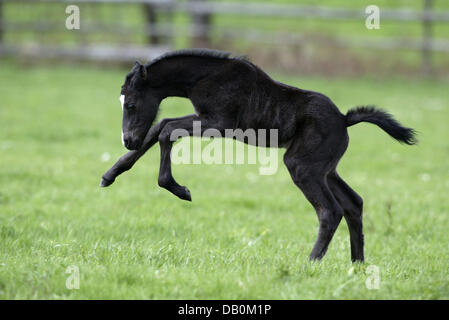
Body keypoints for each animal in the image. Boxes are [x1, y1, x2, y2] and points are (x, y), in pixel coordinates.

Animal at [100, 48, 414, 262]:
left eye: (131, 104)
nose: (128, 140)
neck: (206, 77)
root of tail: (344, 119)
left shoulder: (219, 124)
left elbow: (166, 130)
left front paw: (178, 189)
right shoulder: (207, 119)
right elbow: (160, 126)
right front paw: (110, 175)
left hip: (302, 166)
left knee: (330, 210)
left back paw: (311, 263)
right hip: (326, 169)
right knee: (353, 203)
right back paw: (357, 264)